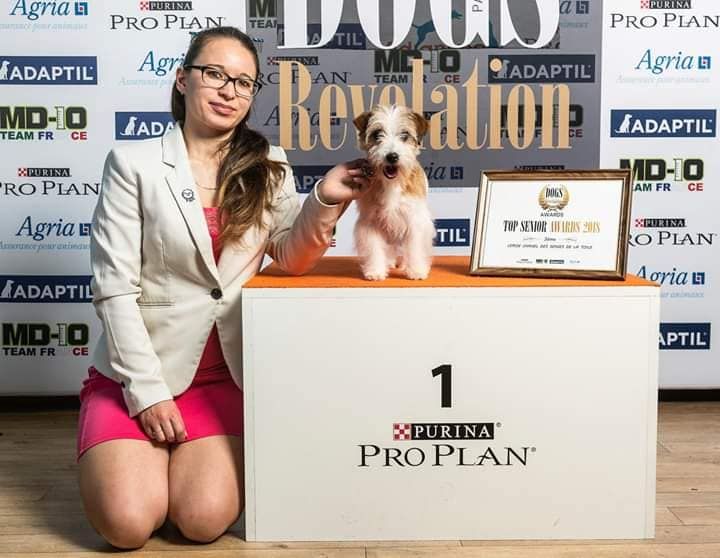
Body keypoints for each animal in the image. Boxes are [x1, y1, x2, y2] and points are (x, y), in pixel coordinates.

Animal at [353, 104, 435, 281]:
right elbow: (374, 248)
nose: (392, 156)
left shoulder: (414, 220)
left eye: (404, 135)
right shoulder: (371, 222)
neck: (392, 184)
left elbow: (415, 247)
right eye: (377, 134)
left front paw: (416, 270)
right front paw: (376, 270)